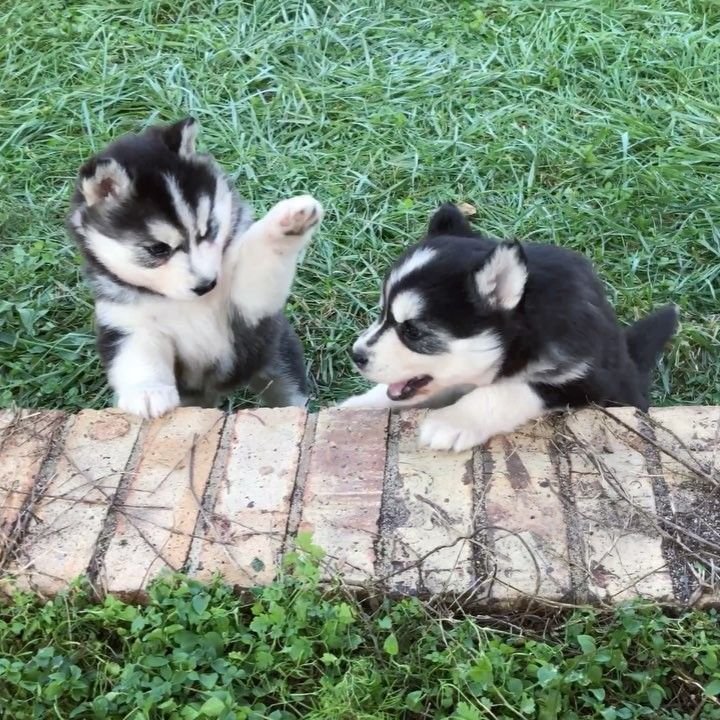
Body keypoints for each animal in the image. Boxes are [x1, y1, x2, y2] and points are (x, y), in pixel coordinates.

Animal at [340, 202, 676, 450]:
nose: (356, 355)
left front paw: (452, 421)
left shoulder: (589, 381)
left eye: (412, 331)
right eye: (382, 313)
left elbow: (507, 392)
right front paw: (358, 405)